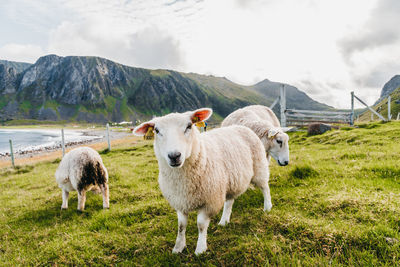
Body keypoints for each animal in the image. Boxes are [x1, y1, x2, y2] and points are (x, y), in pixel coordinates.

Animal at [134, 108, 272, 255]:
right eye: (157, 130)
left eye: (189, 126)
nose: (174, 156)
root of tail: (241, 127)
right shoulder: (180, 201)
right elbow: (181, 226)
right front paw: (178, 247)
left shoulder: (209, 201)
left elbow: (201, 225)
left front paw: (200, 249)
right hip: (229, 181)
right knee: (229, 201)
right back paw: (224, 221)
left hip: (259, 167)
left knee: (265, 187)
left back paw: (267, 207)